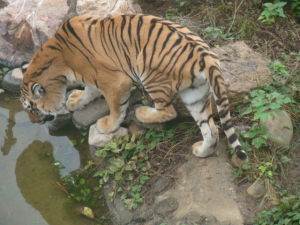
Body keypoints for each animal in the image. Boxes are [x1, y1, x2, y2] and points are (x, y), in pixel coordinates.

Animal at [19, 14, 247, 161]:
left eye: (31, 108)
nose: (33, 122)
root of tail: (205, 54)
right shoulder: (92, 78)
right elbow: (89, 91)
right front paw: (75, 100)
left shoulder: (115, 81)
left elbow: (115, 107)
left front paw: (107, 125)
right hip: (195, 95)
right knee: (212, 129)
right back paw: (201, 151)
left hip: (149, 72)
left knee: (168, 111)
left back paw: (142, 112)